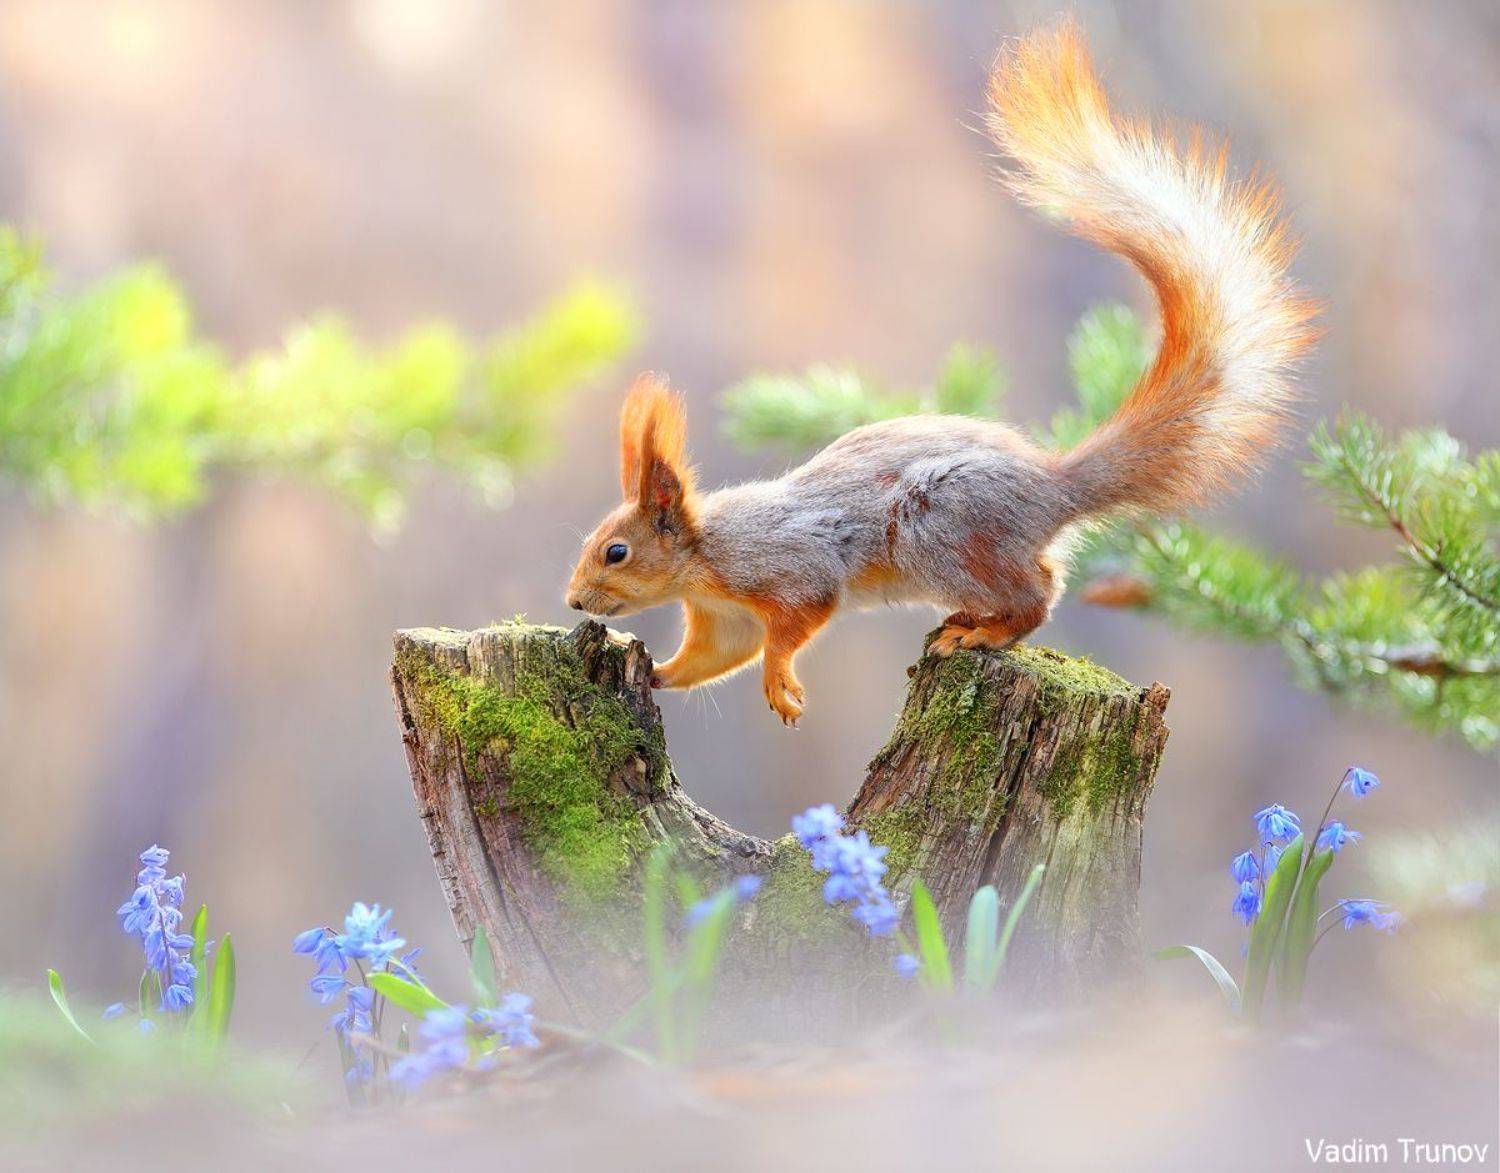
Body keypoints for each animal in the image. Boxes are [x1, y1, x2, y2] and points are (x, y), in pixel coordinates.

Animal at [565, 21, 1318, 725]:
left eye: (616, 552)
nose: (573, 600)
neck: (705, 556)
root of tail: (1053, 489)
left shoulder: (792, 567)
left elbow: (793, 626)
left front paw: (780, 683)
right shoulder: (725, 618)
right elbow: (713, 657)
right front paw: (653, 670)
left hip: (939, 528)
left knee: (1038, 593)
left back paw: (979, 633)